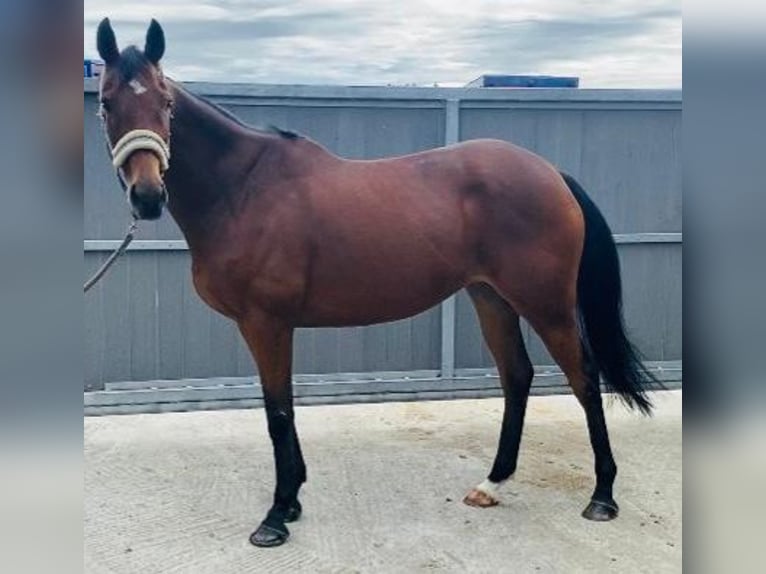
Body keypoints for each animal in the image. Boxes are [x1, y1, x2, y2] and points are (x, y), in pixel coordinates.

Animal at [96, 18, 660, 548]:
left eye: (167, 103)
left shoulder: (266, 324)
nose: (148, 196)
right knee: (516, 375)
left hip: (546, 304)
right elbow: (285, 409)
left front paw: (276, 516)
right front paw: (293, 501)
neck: (244, 189)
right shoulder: (271, 327)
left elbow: (278, 412)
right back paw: (493, 483)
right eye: (105, 104)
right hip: (491, 297)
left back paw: (602, 496)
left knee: (583, 379)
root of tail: (551, 174)